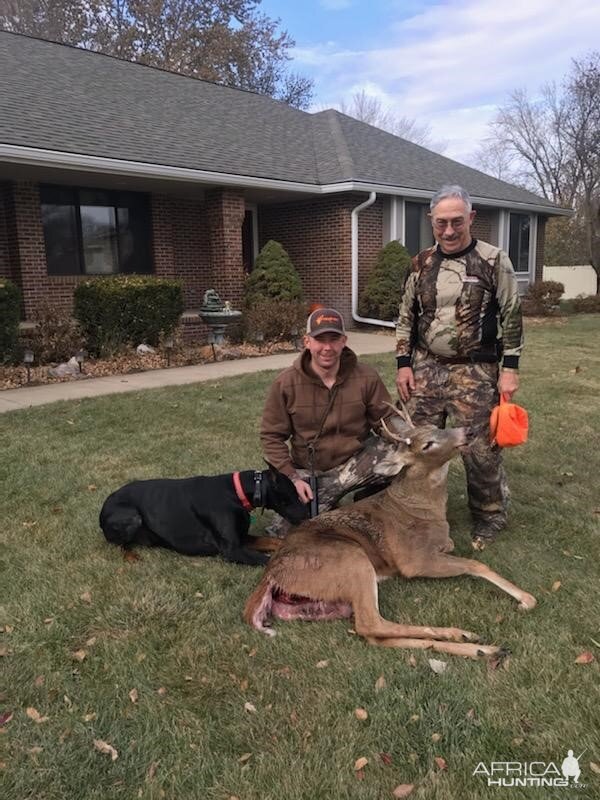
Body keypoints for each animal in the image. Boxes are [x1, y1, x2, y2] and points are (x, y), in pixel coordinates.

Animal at [100, 466, 308, 564]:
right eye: (292, 494)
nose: (307, 516)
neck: (236, 492)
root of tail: (102, 511)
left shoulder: (242, 538)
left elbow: (273, 541)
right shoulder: (231, 550)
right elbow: (267, 559)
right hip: (132, 517)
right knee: (119, 545)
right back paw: (131, 557)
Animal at [246, 410, 536, 660]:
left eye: (438, 428)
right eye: (427, 444)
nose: (467, 431)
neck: (423, 507)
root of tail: (272, 574)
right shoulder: (413, 559)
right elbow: (475, 564)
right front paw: (526, 599)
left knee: (375, 636)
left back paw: (479, 647)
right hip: (351, 559)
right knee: (369, 623)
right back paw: (466, 636)